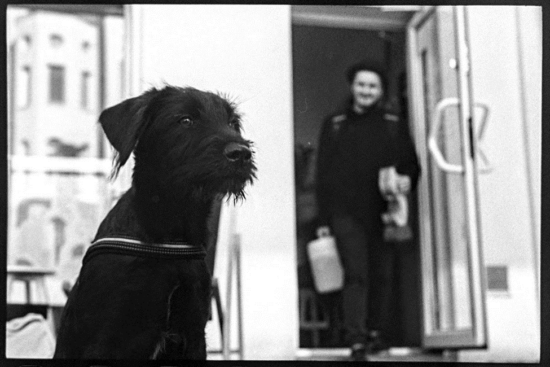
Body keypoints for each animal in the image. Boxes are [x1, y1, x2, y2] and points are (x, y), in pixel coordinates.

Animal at [54, 85, 256, 360]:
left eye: (233, 123)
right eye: (186, 120)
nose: (241, 153)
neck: (170, 234)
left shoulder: (193, 333)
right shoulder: (104, 336)